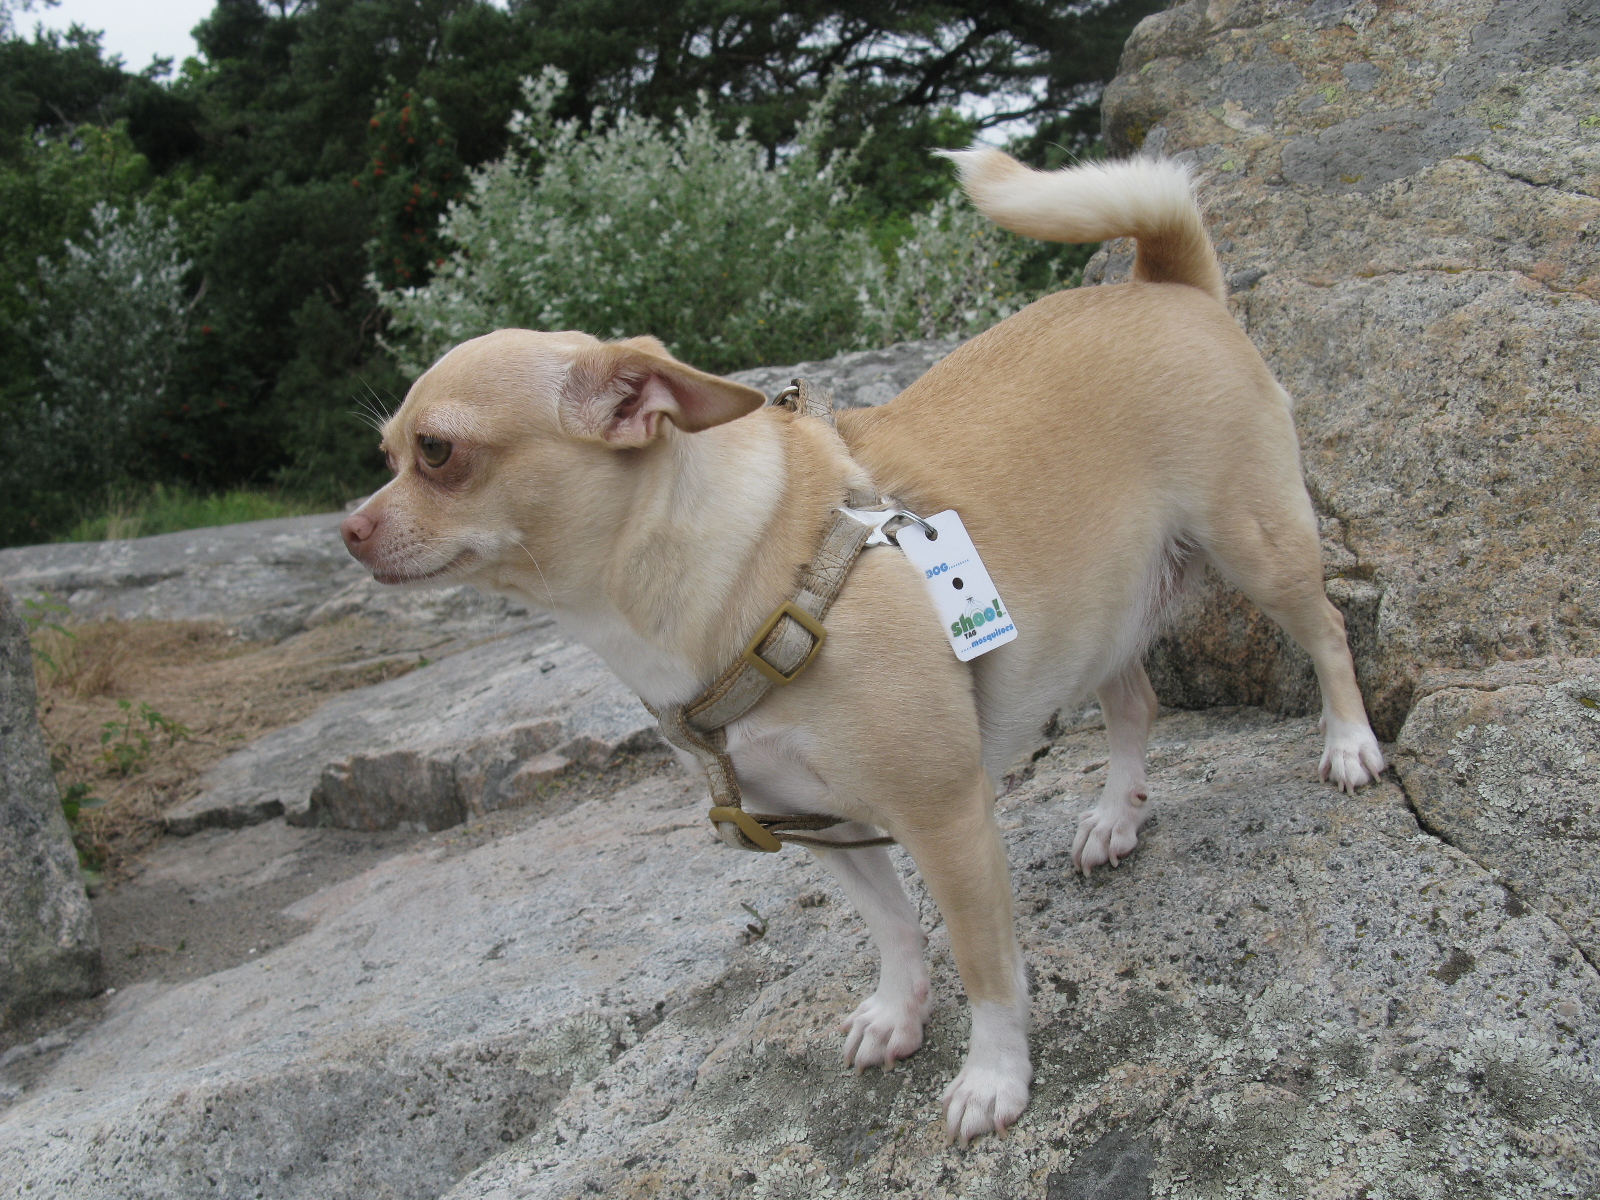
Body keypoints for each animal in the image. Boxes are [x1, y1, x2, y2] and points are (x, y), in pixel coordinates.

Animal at [340, 150, 1388, 1145]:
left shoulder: (947, 822)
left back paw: (1347, 745)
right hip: (1103, 616)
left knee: (1330, 633)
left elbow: (987, 965)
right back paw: (1113, 819)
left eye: (436, 452)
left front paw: (993, 1078)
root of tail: (1162, 279)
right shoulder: (824, 829)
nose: (348, 531)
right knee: (1136, 704)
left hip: (1258, 548)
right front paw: (900, 1012)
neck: (727, 573)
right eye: (386, 455)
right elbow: (893, 928)